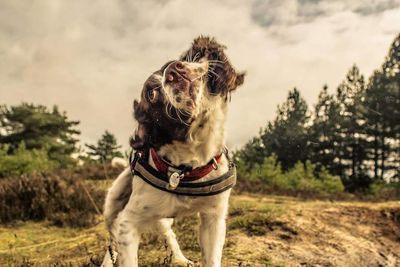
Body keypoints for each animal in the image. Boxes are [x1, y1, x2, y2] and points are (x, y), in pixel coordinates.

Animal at [101, 36, 245, 267]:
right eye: (151, 94)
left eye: (173, 62)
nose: (174, 71)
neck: (185, 169)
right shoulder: (128, 222)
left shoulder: (213, 219)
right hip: (112, 206)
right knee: (112, 241)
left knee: (168, 233)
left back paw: (180, 258)